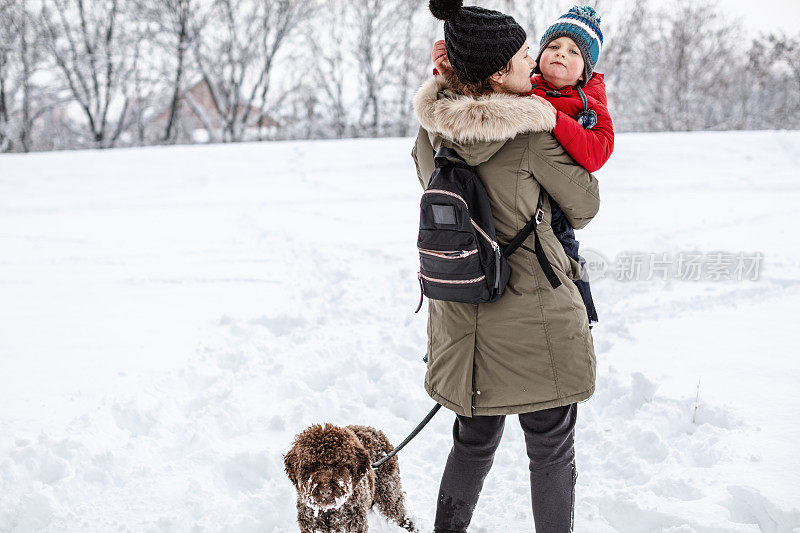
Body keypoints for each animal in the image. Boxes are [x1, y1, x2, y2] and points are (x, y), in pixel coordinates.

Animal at [282, 424, 418, 532]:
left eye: (338, 464)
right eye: (311, 465)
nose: (325, 491)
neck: (328, 512)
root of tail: (375, 431)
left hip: (388, 492)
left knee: (400, 515)